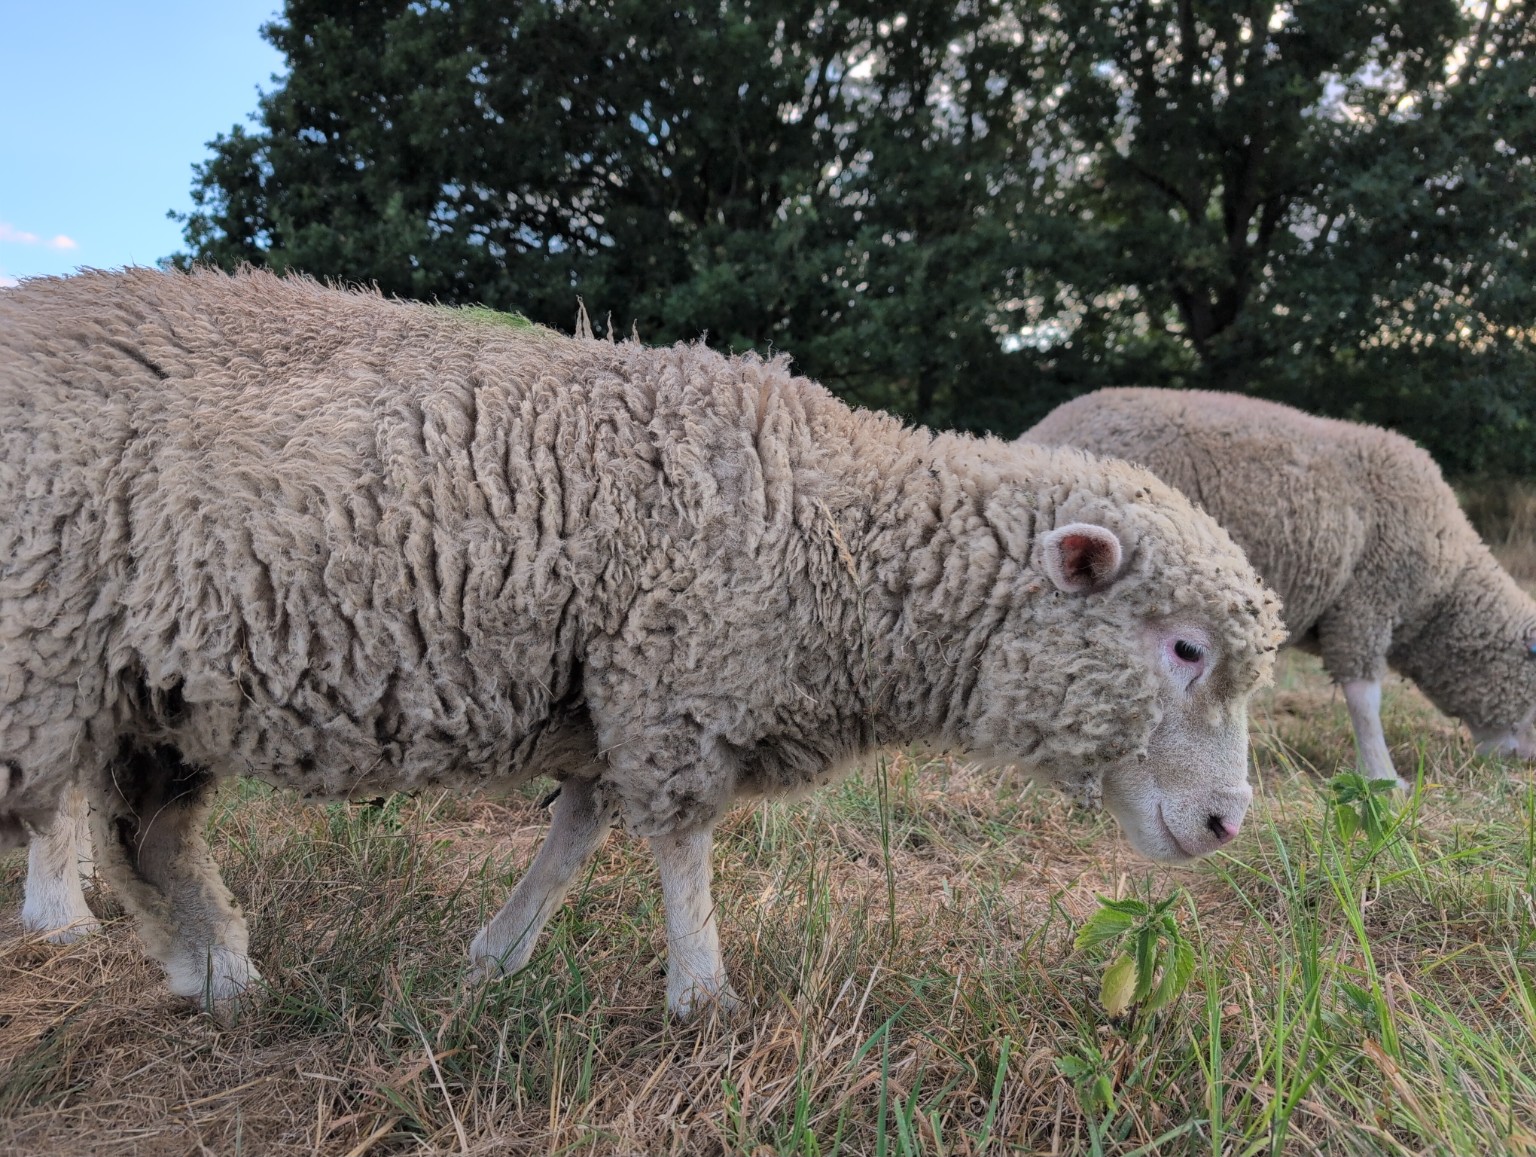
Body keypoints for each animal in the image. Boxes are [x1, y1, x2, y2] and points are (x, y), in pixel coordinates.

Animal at [1, 269, 1283, 1016]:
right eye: (1184, 649)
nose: (1230, 825)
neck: (832, 526)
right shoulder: (677, 671)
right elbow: (680, 842)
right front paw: (702, 993)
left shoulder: (605, 685)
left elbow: (577, 830)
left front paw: (496, 953)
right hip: (45, 643)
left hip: (145, 679)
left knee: (149, 831)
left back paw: (217, 972)